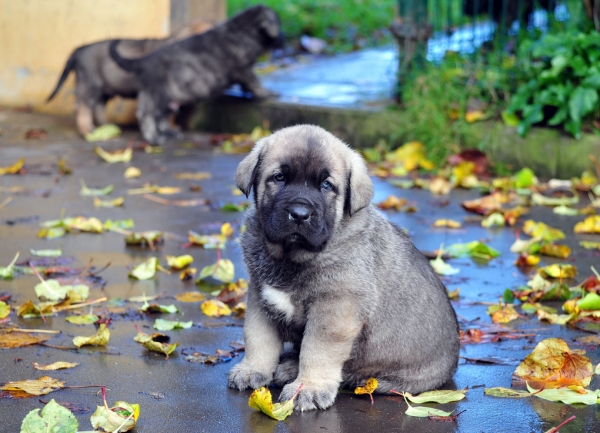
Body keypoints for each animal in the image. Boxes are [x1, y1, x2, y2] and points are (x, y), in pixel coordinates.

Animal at [48, 19, 214, 135]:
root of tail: (79, 50)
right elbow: (168, 113)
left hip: (104, 89)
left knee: (98, 106)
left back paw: (107, 126)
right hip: (90, 84)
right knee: (82, 106)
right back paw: (87, 129)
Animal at [109, 6, 282, 145]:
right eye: (278, 23)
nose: (282, 39)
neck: (241, 30)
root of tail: (143, 61)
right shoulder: (242, 69)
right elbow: (254, 83)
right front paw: (267, 93)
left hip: (155, 94)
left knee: (157, 115)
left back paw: (169, 132)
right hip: (158, 93)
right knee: (148, 115)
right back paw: (153, 137)